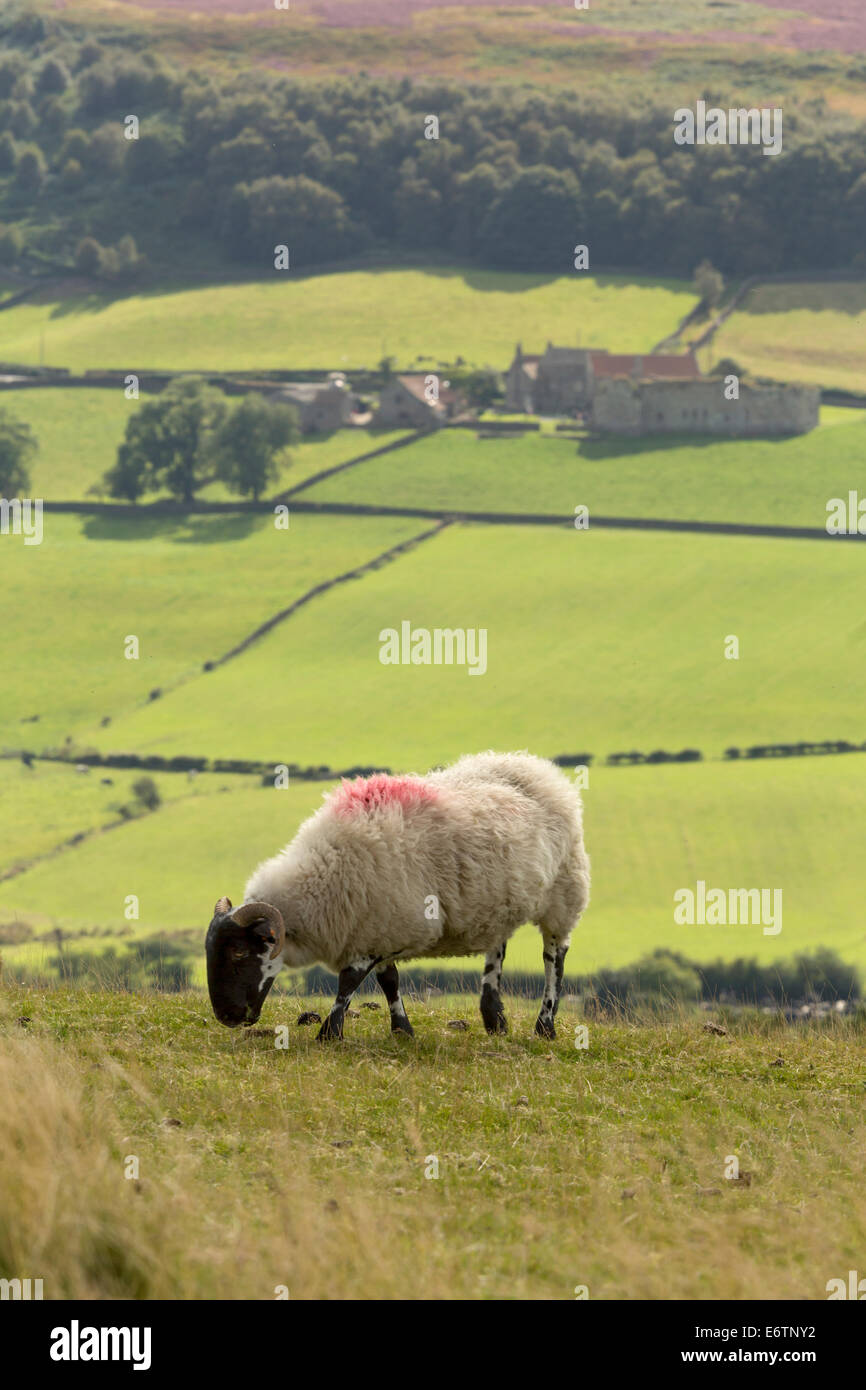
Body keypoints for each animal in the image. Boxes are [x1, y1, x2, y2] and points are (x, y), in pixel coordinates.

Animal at [207, 750, 592, 1045]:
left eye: (239, 951)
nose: (227, 1017)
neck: (323, 874)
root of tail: (537, 766)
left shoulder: (388, 925)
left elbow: (349, 981)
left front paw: (330, 1033)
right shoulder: (379, 926)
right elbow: (388, 980)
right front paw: (402, 1030)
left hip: (564, 892)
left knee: (554, 958)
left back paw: (544, 1026)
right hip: (497, 901)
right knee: (497, 950)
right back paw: (494, 1019)